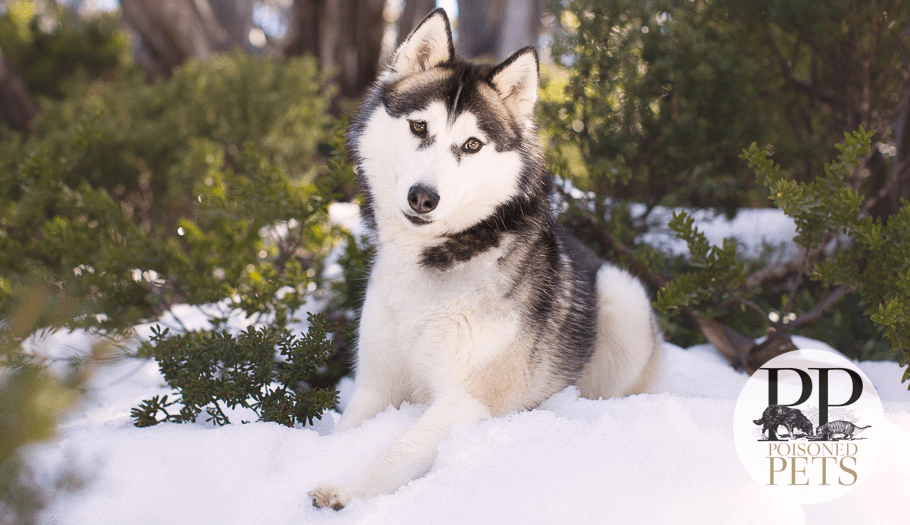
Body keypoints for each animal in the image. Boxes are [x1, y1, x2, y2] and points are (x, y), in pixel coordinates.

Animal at [310, 8, 660, 508]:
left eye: (472, 144)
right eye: (419, 127)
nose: (423, 198)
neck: (437, 258)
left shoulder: (467, 401)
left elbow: (397, 453)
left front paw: (347, 490)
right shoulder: (375, 385)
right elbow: (348, 431)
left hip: (622, 296)